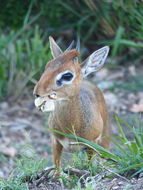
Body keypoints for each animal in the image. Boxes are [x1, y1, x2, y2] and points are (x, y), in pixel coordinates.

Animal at [33, 36, 110, 168]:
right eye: (48, 65)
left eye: (67, 75)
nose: (37, 91)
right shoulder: (55, 141)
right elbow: (57, 168)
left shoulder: (92, 144)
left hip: (104, 142)